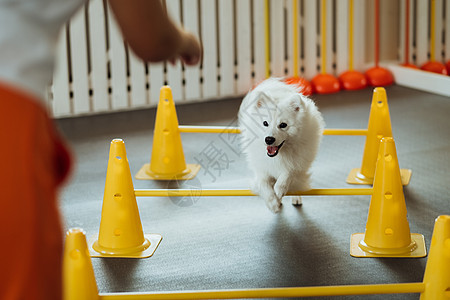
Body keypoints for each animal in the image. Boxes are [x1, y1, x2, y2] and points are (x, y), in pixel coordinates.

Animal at [239, 78, 324, 213]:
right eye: (265, 123)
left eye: (283, 125)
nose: (269, 139)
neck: (278, 155)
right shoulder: (262, 168)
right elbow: (264, 183)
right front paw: (273, 203)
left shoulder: (297, 163)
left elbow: (288, 173)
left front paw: (279, 190)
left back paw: (295, 198)